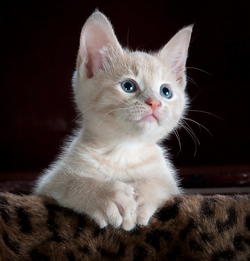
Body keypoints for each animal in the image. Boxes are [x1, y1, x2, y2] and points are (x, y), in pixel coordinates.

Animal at [34, 11, 191, 230]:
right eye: (128, 86)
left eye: (166, 91)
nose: (155, 103)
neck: (124, 150)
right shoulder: (48, 183)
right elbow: (71, 182)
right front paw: (105, 195)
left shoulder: (170, 183)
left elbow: (160, 183)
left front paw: (142, 195)